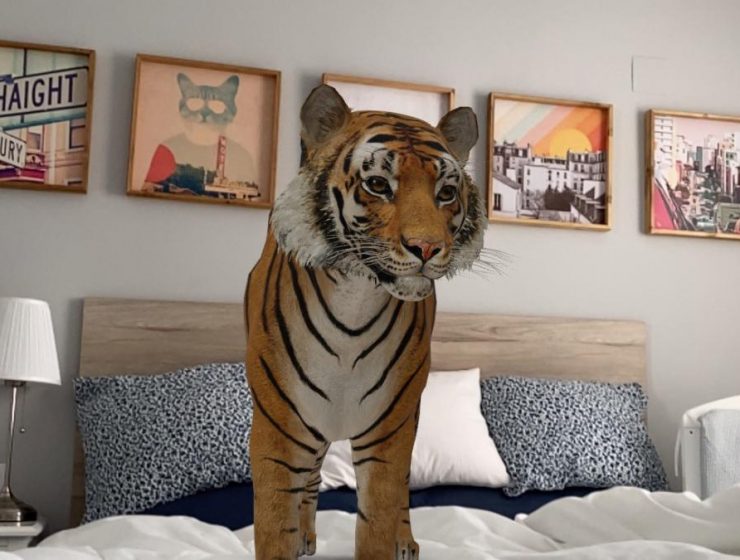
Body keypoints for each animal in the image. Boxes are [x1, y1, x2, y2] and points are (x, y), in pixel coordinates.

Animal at [244, 84, 485, 560]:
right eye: (378, 185)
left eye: (447, 192)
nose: (427, 247)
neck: (354, 300)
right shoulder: (279, 430)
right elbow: (277, 522)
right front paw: (292, 538)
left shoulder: (389, 429)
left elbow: (380, 514)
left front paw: (390, 540)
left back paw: (405, 542)